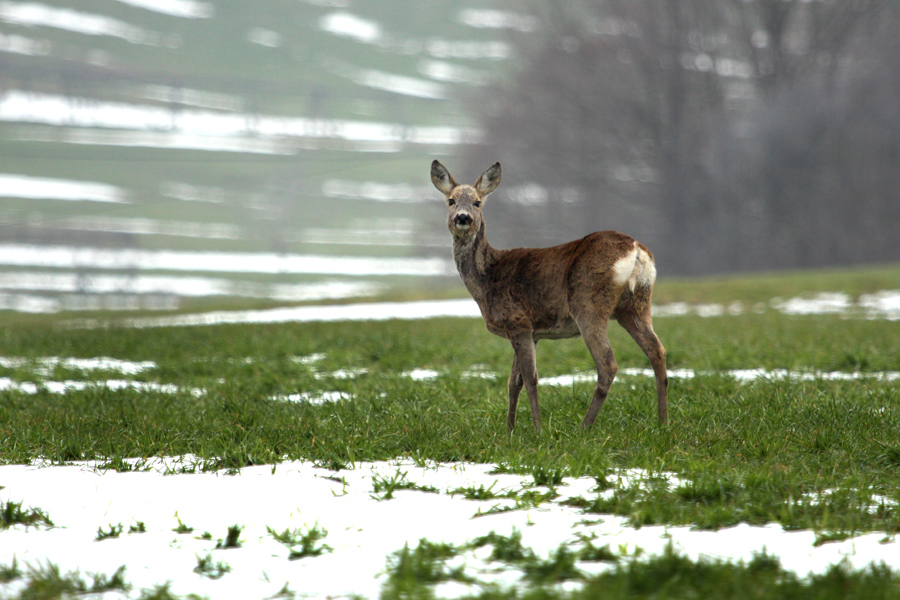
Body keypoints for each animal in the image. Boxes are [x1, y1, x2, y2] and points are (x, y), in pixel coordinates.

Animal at [428, 159, 668, 432]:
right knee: (657, 351)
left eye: (478, 202)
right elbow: (513, 382)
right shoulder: (530, 333)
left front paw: (537, 429)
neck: (487, 278)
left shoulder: (518, 322)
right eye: (451, 200)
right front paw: (509, 430)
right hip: (636, 304)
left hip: (589, 303)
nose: (463, 218)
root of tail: (636, 249)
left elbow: (530, 379)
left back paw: (583, 428)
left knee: (608, 363)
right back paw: (663, 422)